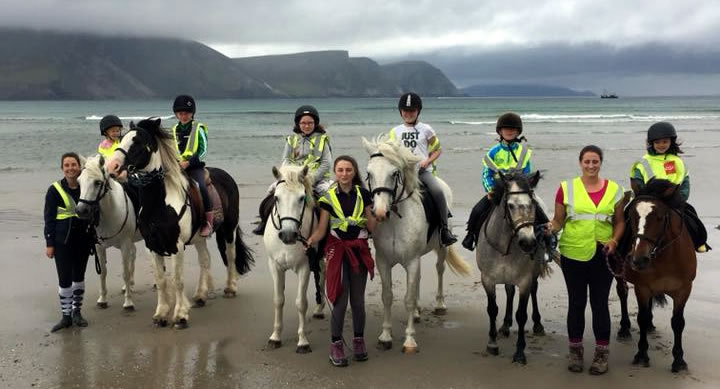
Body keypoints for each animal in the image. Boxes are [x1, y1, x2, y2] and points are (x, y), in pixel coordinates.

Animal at [76, 155, 143, 310]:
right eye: (79, 181)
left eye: (97, 182)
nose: (81, 210)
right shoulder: (99, 247)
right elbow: (103, 273)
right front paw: (102, 299)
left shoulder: (125, 244)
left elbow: (124, 272)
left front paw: (128, 302)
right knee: (133, 255)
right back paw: (129, 285)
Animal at [104, 117, 253, 328]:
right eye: (122, 139)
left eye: (138, 142)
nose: (112, 167)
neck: (159, 202)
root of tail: (225, 176)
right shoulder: (152, 246)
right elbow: (161, 279)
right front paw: (161, 314)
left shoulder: (177, 246)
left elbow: (177, 280)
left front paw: (181, 315)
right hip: (200, 237)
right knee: (205, 259)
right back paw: (200, 296)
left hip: (229, 228)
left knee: (230, 255)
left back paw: (230, 288)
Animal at [264, 164, 320, 352]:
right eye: (276, 197)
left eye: (302, 198)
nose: (288, 235)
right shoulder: (275, 266)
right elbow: (278, 300)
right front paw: (275, 337)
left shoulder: (305, 267)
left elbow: (301, 303)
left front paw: (302, 341)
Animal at [362, 136, 470, 352]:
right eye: (369, 173)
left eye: (394, 173)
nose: (380, 212)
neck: (395, 221)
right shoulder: (383, 262)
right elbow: (387, 296)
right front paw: (385, 336)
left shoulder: (412, 261)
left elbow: (409, 300)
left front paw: (409, 340)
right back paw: (419, 312)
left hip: (441, 248)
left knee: (439, 270)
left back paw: (439, 305)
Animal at [620, 177, 696, 372]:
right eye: (631, 216)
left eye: (660, 217)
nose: (639, 259)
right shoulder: (642, 288)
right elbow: (641, 317)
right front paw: (641, 354)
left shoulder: (684, 289)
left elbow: (678, 322)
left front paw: (679, 360)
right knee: (622, 293)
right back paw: (624, 328)